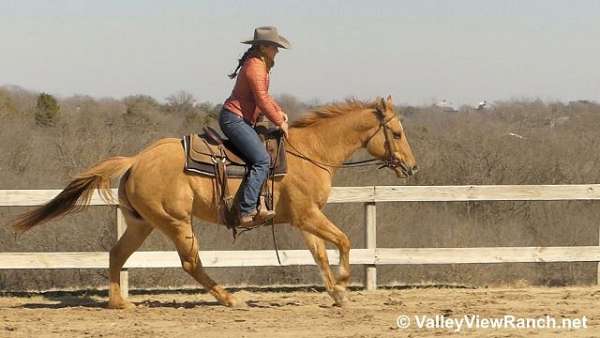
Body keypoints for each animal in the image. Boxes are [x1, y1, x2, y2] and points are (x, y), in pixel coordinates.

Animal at [7, 95, 418, 308]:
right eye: (397, 133)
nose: (412, 167)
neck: (310, 152)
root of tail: (137, 159)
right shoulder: (308, 215)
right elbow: (344, 241)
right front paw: (345, 283)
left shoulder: (305, 219)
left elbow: (320, 253)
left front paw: (336, 293)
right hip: (176, 223)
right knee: (191, 263)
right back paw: (229, 298)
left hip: (142, 224)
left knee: (116, 254)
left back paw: (120, 303)